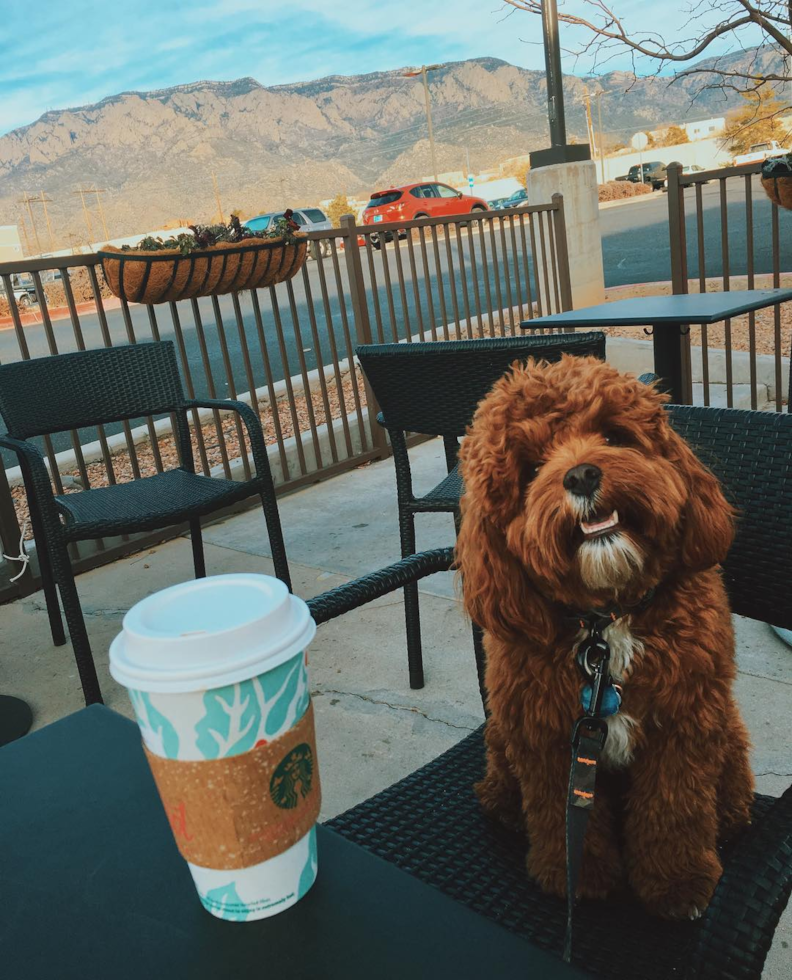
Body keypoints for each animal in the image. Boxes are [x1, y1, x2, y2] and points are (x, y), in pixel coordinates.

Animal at [454, 354, 752, 920]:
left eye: (614, 436)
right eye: (531, 469)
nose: (582, 474)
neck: (604, 621)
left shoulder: (684, 721)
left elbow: (675, 807)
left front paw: (676, 881)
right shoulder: (547, 737)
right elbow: (563, 818)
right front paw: (578, 878)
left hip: (725, 722)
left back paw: (731, 811)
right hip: (503, 728)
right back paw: (502, 802)